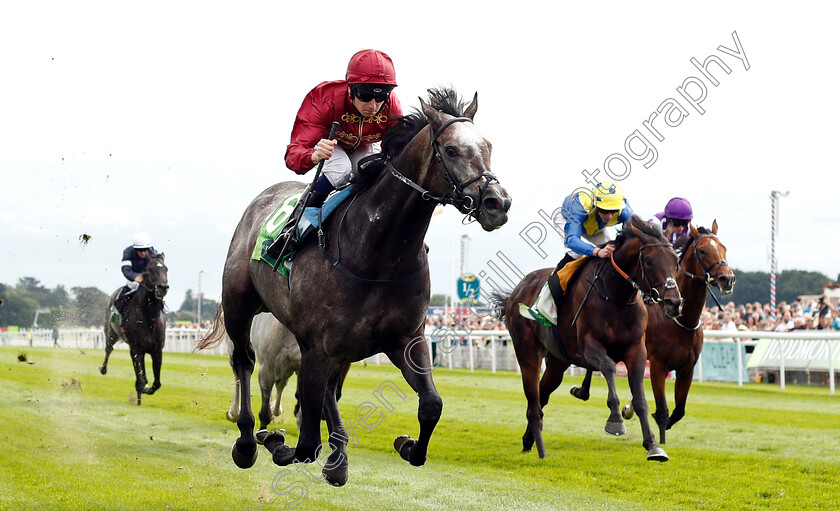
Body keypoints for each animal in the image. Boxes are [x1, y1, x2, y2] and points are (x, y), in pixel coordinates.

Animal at [99, 254, 168, 406]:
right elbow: (141, 378)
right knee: (109, 349)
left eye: (166, 269)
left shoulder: (157, 350)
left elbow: (157, 382)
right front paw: (142, 390)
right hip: (111, 332)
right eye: (150, 270)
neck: (149, 317)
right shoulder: (136, 348)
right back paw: (103, 368)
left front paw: (147, 389)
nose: (163, 287)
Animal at [198, 89, 512, 488]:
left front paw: (407, 445)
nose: (498, 202)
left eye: (488, 146)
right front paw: (275, 440)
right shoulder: (317, 346)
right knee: (244, 362)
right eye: (452, 150)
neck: (378, 254)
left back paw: (338, 456)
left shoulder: (405, 338)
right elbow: (305, 445)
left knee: (329, 393)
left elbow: (431, 405)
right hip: (240, 305)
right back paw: (248, 441)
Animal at [492, 216, 684, 464]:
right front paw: (615, 420)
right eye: (649, 261)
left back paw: (528, 440)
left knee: (542, 396)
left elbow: (640, 400)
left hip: (557, 362)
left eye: (676, 261)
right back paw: (541, 451)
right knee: (534, 403)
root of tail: (517, 290)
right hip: (527, 354)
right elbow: (609, 367)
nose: (674, 303)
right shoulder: (588, 347)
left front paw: (653, 446)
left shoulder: (637, 350)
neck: (617, 298)